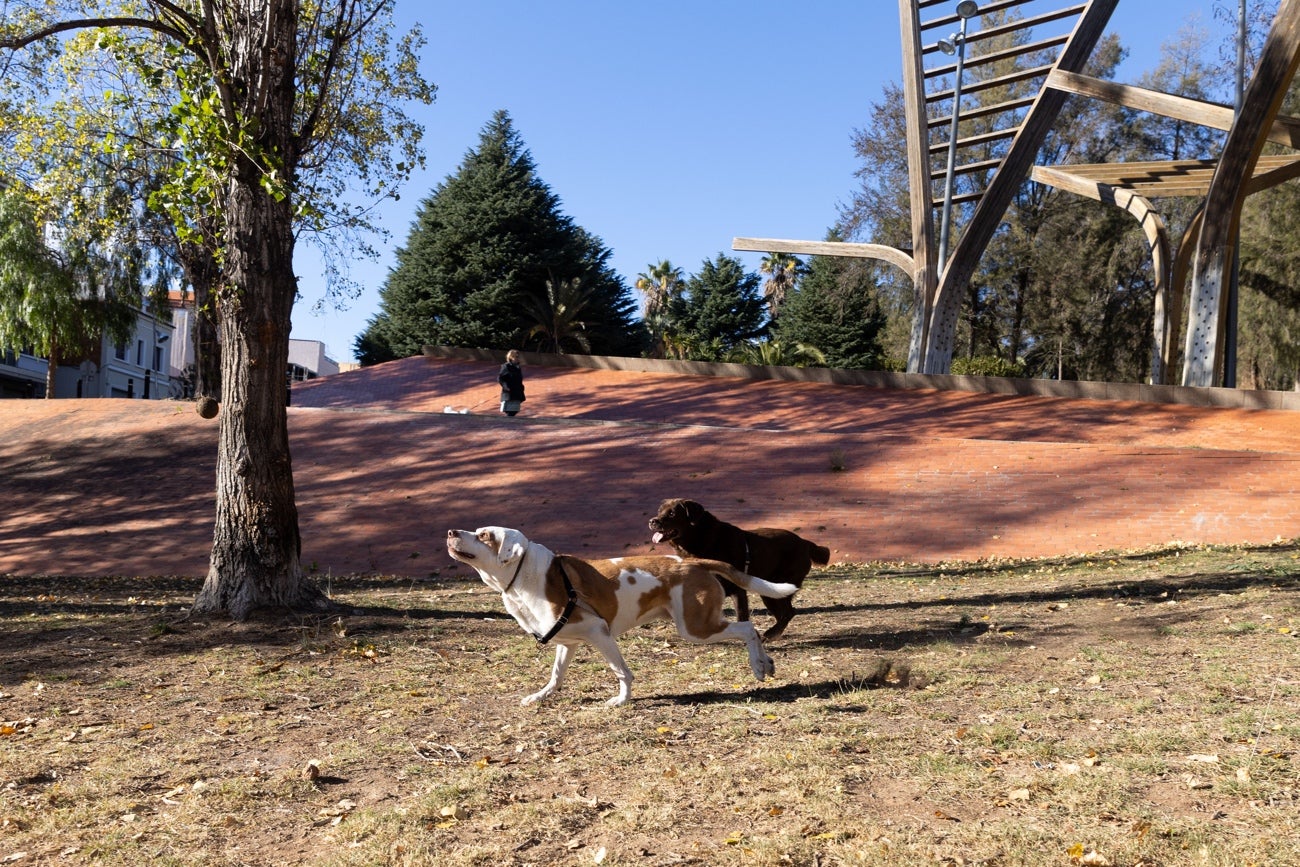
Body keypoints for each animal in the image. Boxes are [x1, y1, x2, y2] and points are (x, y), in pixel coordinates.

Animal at [444, 530, 790, 707]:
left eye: (484, 535)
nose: (451, 532)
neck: (525, 577)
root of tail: (694, 562)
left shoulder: (600, 633)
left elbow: (621, 672)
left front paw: (622, 700)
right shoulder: (568, 642)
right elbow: (556, 675)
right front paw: (541, 696)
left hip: (695, 627)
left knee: (748, 628)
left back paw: (759, 667)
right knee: (749, 629)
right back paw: (767, 664)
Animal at [650, 499, 832, 642]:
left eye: (672, 513)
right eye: (659, 511)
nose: (653, 521)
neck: (701, 540)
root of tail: (805, 543)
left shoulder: (737, 589)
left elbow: (741, 616)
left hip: (781, 585)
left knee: (789, 612)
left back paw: (771, 633)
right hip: (770, 593)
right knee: (784, 613)